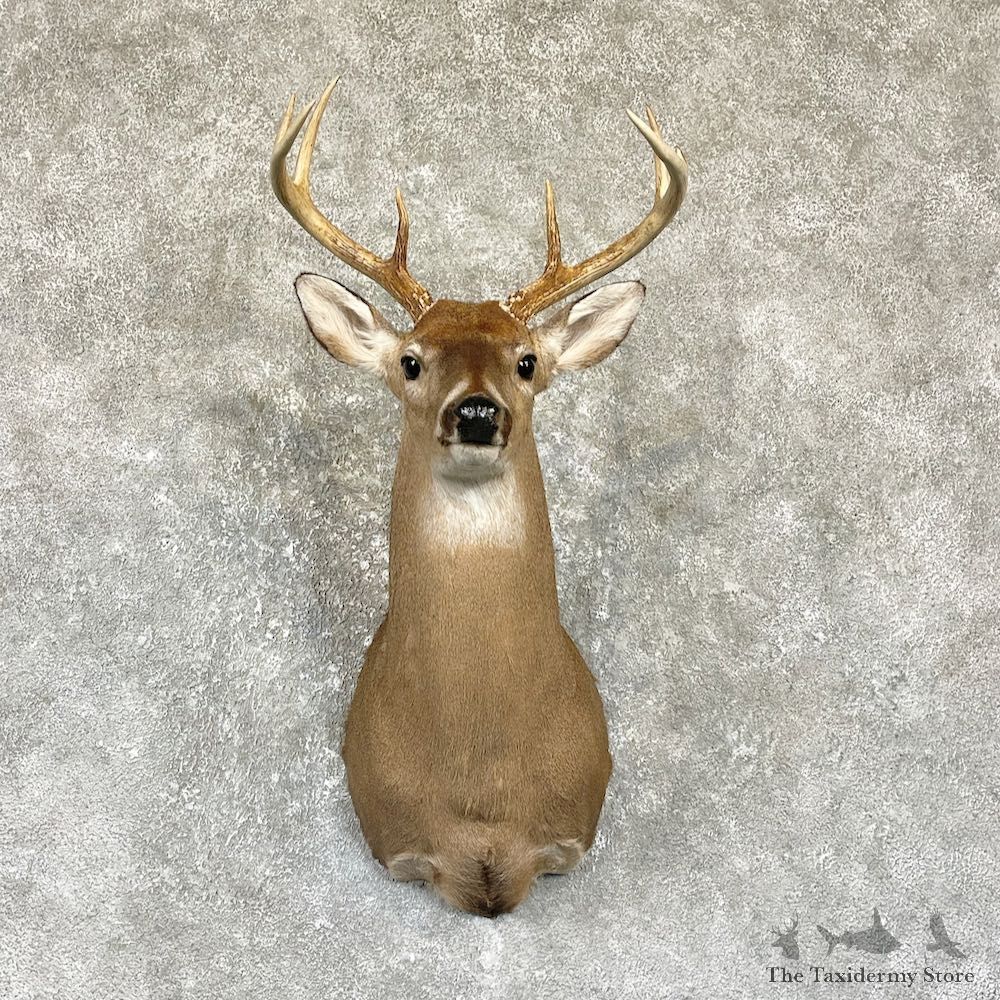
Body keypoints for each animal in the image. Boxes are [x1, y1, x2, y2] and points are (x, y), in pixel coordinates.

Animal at [270, 77, 688, 917]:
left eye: (525, 361)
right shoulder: (401, 845)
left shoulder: (566, 835)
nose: (475, 412)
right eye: (410, 360)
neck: (482, 782)